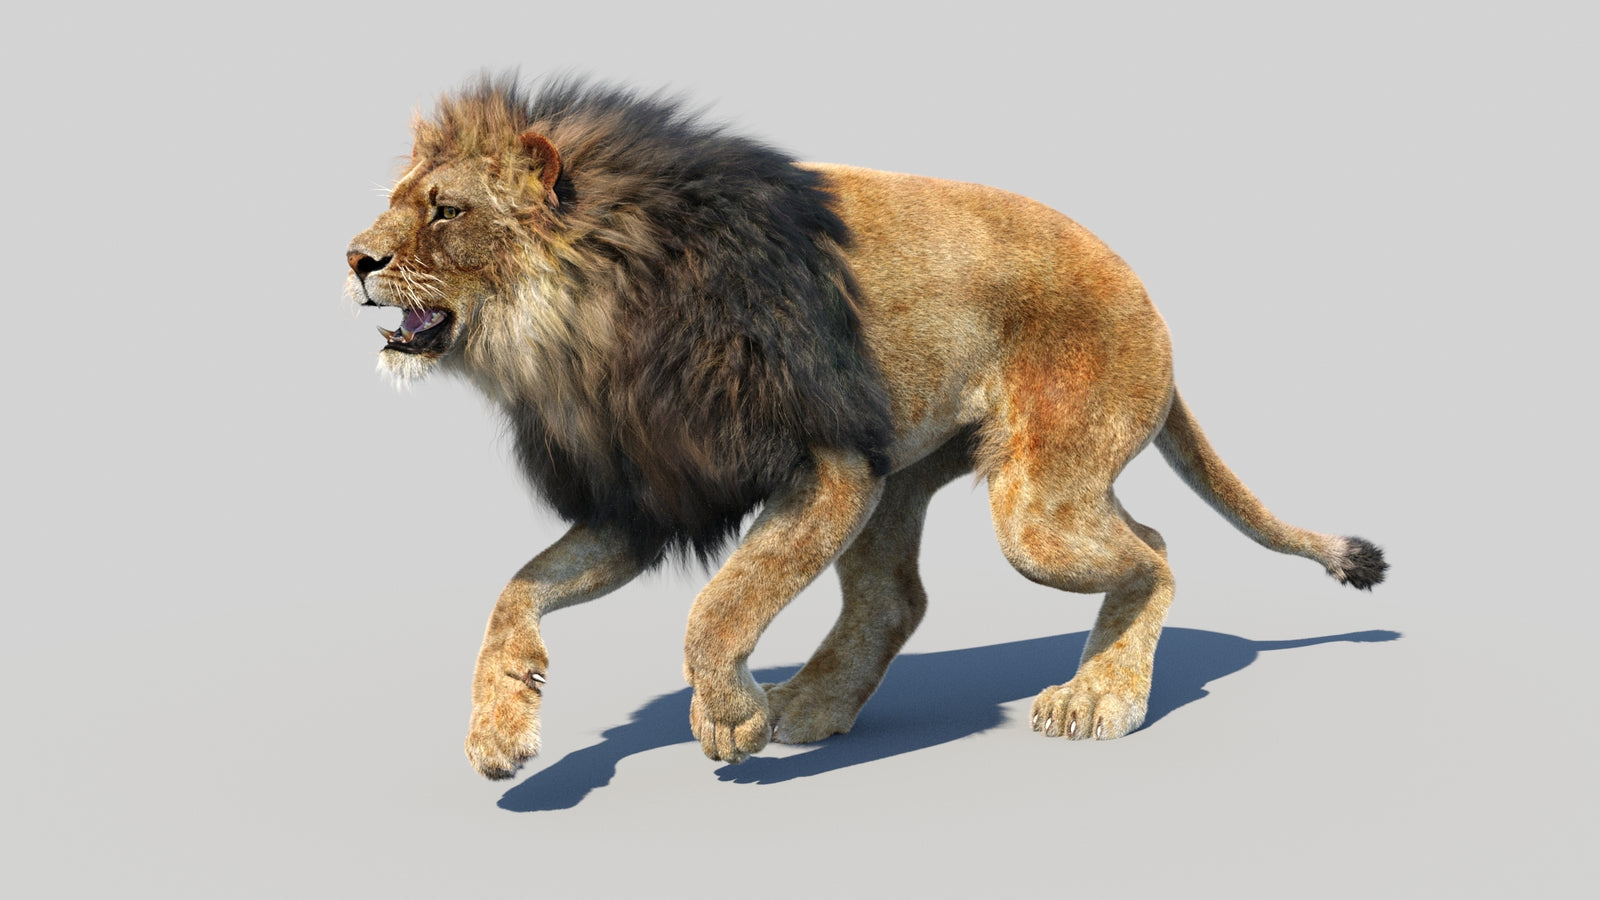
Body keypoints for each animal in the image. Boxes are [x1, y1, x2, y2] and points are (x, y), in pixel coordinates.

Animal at [346, 75, 1387, 780]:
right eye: (396, 203)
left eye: (446, 210)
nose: (353, 258)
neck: (582, 326)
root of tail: (1149, 295)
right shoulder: (647, 496)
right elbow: (515, 594)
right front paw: (499, 731)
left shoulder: (828, 464)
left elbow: (719, 604)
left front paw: (726, 718)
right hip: (917, 476)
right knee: (900, 598)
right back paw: (810, 706)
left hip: (1033, 502)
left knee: (1156, 553)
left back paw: (1100, 698)